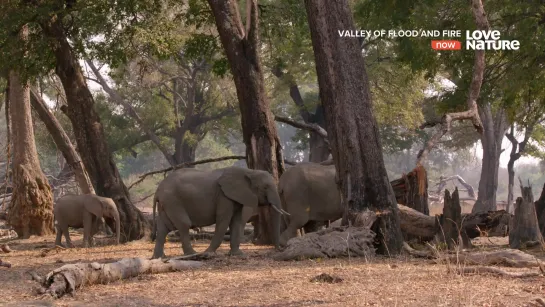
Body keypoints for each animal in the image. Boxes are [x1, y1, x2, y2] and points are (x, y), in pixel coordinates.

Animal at [149, 166, 284, 260]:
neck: (250, 171)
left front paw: (238, 255)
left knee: (163, 228)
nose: (280, 249)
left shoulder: (237, 198)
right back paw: (193, 255)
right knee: (184, 224)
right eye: (265, 187)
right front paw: (208, 254)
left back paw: (159, 257)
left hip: (166, 204)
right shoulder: (224, 197)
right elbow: (223, 221)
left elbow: (236, 221)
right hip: (173, 201)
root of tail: (157, 191)